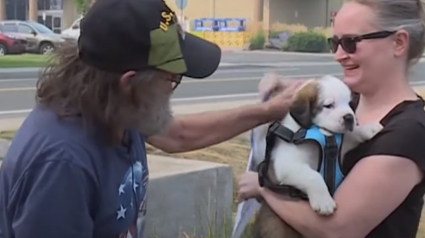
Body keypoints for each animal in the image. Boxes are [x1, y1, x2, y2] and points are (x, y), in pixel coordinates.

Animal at [250, 74, 382, 238]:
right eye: (329, 105)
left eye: (350, 104)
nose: (349, 117)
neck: (320, 131)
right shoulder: (288, 165)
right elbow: (313, 176)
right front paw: (324, 202)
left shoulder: (342, 144)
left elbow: (351, 135)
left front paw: (367, 129)